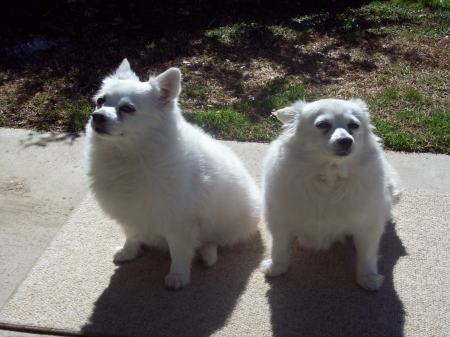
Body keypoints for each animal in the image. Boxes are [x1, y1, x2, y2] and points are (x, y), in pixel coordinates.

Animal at [85, 59, 260, 288]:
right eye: (100, 101)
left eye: (127, 109)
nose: (97, 116)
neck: (131, 155)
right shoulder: (131, 213)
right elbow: (132, 235)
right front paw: (128, 252)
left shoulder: (179, 222)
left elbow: (180, 251)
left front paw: (178, 275)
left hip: (229, 224)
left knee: (214, 240)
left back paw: (207, 254)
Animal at [260, 98, 400, 290]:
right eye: (323, 125)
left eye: (354, 125)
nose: (346, 140)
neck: (331, 175)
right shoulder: (280, 220)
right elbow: (279, 245)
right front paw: (277, 266)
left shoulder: (367, 226)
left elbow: (368, 254)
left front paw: (368, 278)